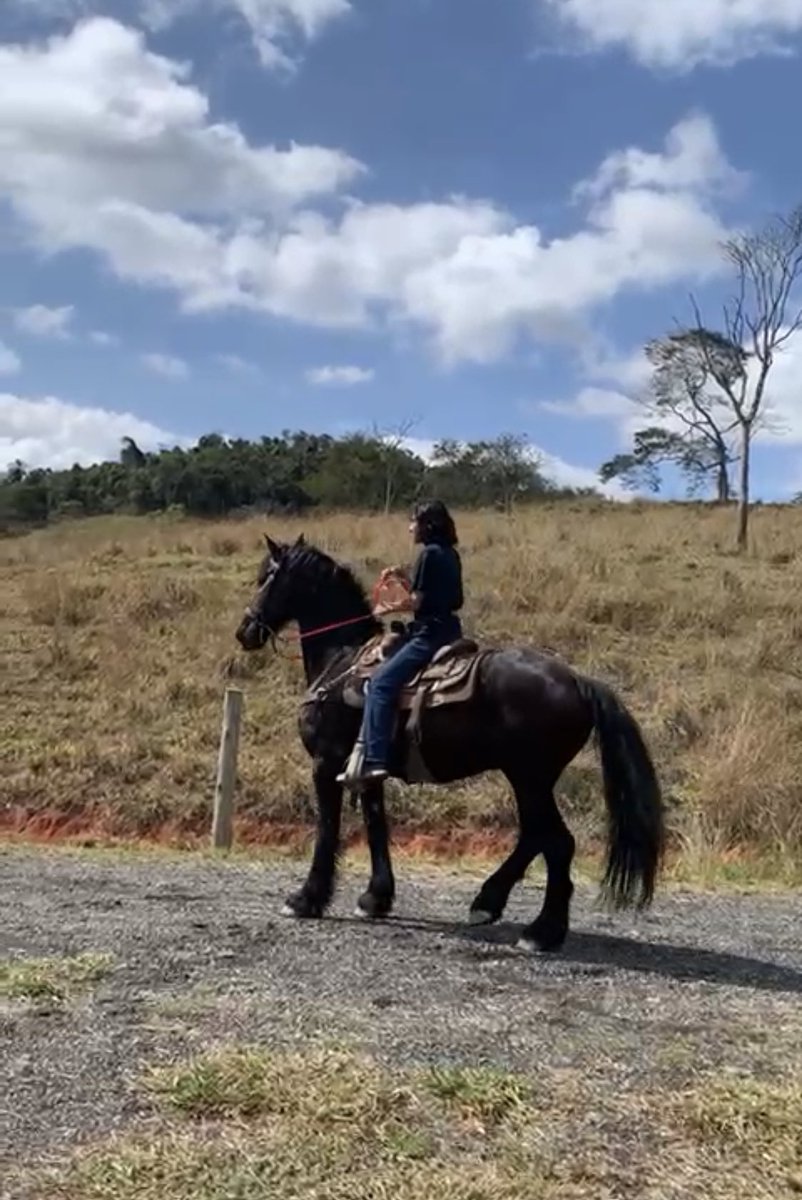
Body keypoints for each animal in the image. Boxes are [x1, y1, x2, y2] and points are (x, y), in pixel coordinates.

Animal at [235, 534, 665, 953]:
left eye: (267, 577)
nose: (245, 631)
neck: (342, 659)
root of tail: (579, 681)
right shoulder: (368, 773)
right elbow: (376, 827)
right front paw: (375, 898)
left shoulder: (326, 764)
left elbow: (327, 830)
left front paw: (305, 899)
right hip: (528, 779)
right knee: (535, 837)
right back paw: (490, 903)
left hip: (530, 778)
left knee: (557, 843)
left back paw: (541, 932)